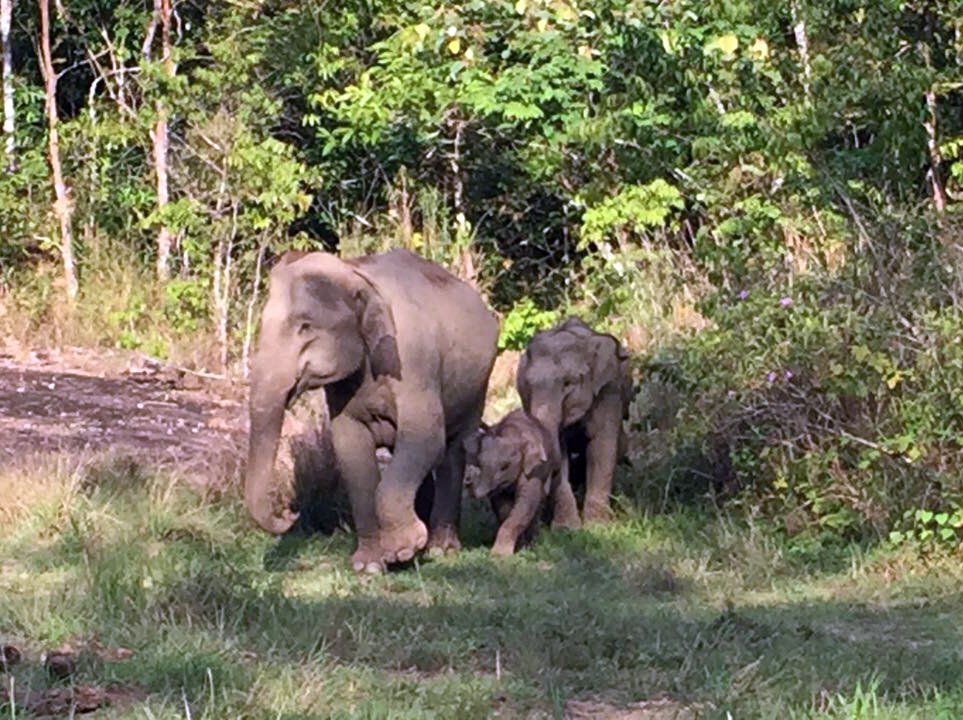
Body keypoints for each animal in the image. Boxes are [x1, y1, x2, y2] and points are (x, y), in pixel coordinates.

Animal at [245, 248, 499, 572]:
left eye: (306, 326)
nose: (290, 514)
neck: (356, 272)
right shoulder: (343, 389)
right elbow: (352, 453)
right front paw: (369, 565)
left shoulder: (413, 362)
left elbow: (426, 438)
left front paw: (402, 549)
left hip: (477, 384)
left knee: (453, 450)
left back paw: (441, 549)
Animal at [462, 409, 576, 555]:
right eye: (479, 463)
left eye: (505, 466)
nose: (468, 481)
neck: (513, 434)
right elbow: (504, 507)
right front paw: (517, 547)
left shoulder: (535, 469)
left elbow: (526, 503)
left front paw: (500, 554)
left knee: (539, 503)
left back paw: (532, 544)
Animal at [517, 317, 631, 524]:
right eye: (527, 385)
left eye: (568, 383)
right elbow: (561, 451)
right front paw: (568, 526)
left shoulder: (609, 389)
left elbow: (602, 446)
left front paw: (598, 524)